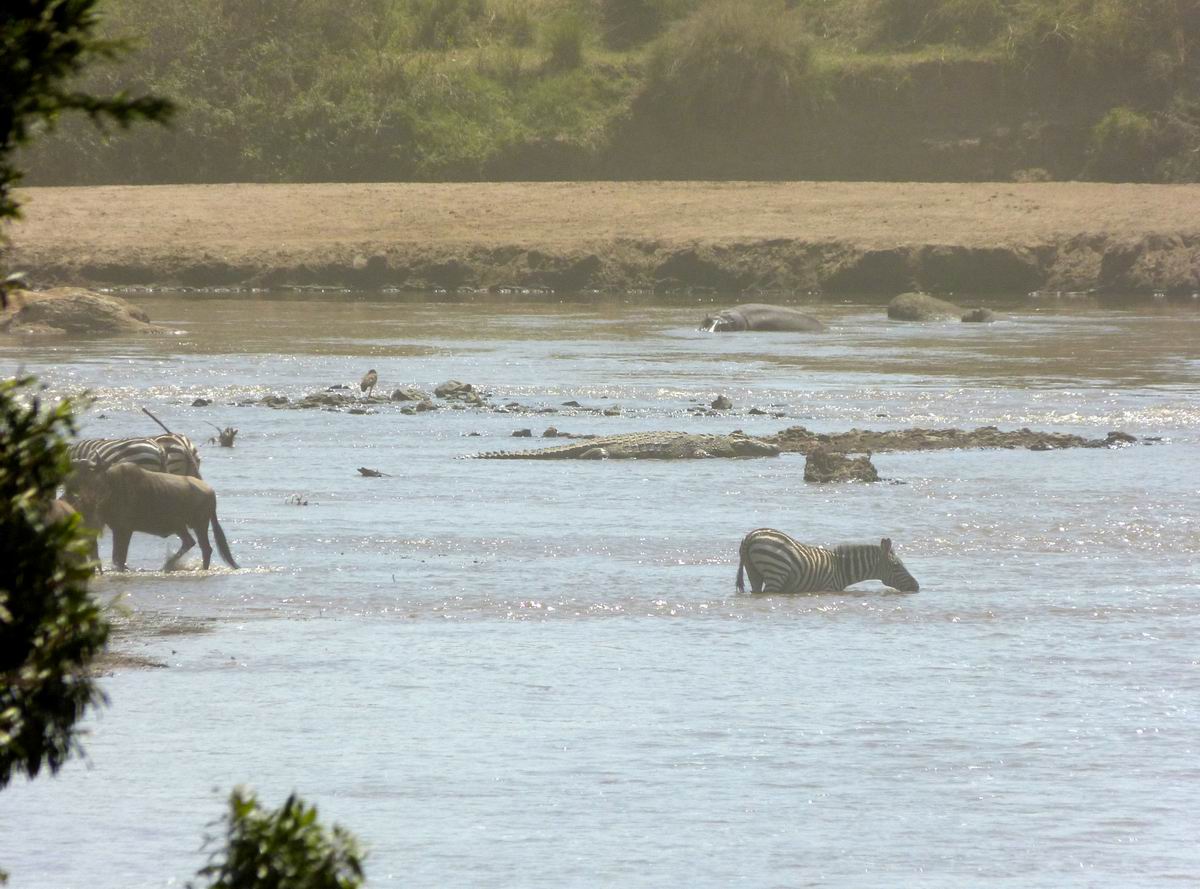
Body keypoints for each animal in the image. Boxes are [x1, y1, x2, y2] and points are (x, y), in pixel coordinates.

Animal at [729, 530, 916, 592]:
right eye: (896, 566)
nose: (917, 587)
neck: (842, 569)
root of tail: (751, 536)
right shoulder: (829, 588)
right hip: (776, 571)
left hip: (753, 571)